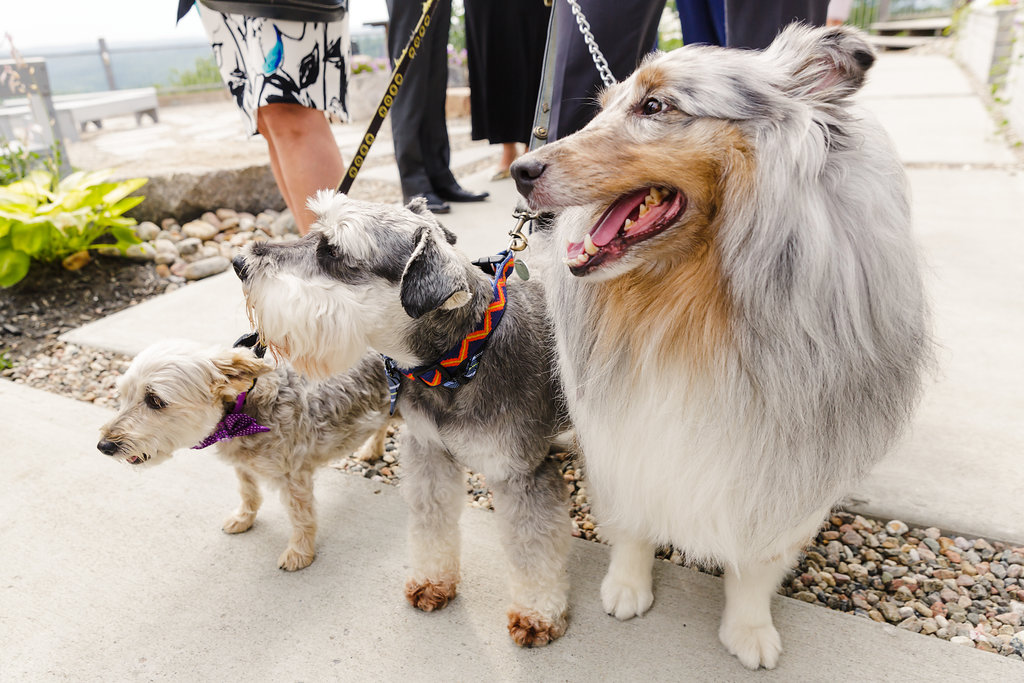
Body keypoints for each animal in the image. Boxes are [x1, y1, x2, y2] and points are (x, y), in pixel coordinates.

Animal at [97, 339, 389, 573]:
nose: (104, 446)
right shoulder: (242, 464)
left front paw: (300, 553)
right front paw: (244, 519)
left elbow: (301, 517)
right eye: (122, 395)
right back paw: (371, 451)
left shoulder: (295, 475)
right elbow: (248, 493)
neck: (242, 409)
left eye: (155, 400)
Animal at [234, 192, 577, 647]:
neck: (459, 357)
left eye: (334, 251)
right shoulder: (429, 454)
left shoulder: (522, 474)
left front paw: (537, 614)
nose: (238, 261)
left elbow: (533, 548)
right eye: (315, 229)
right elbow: (432, 524)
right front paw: (433, 581)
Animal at [512, 25, 929, 667]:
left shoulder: (784, 464)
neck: (689, 305)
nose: (519, 169)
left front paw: (750, 632)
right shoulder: (623, 429)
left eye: (654, 106)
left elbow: (756, 565)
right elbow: (632, 520)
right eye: (602, 108)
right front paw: (625, 588)